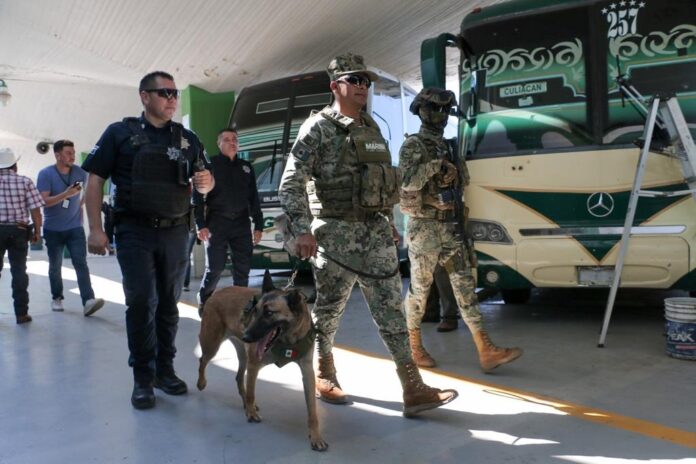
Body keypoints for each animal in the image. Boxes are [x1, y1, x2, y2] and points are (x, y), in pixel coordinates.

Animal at [196, 272, 326, 450]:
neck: (287, 340)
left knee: (238, 377)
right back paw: (202, 383)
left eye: (269, 313)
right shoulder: (254, 365)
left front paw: (316, 436)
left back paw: (245, 402)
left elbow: (312, 410)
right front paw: (251, 414)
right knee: (202, 360)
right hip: (212, 345)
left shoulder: (307, 373)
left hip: (243, 356)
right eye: (255, 311)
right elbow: (252, 392)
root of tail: (216, 293)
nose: (246, 336)